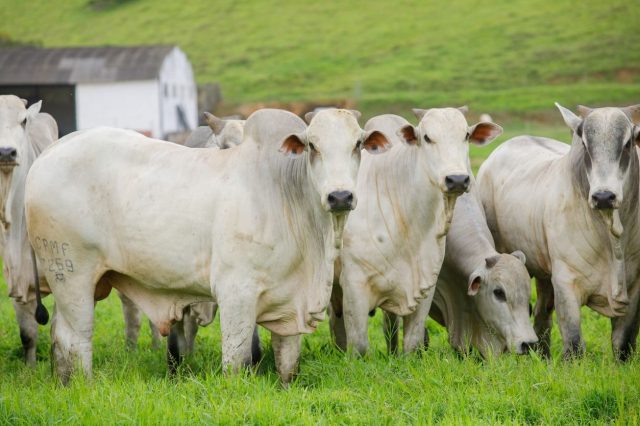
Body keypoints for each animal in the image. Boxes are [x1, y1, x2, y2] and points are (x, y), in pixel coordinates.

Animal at [25, 107, 390, 382]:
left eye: (358, 143)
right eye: (313, 145)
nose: (340, 196)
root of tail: (50, 153)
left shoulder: (290, 304)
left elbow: (289, 365)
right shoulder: (236, 293)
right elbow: (238, 362)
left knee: (59, 336)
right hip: (71, 275)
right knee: (75, 339)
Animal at [330, 108, 504, 354]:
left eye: (466, 135)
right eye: (427, 137)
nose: (457, 179)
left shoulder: (424, 285)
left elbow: (412, 342)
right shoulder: (354, 286)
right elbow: (360, 345)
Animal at [478, 103, 640, 360]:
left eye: (627, 143)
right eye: (585, 144)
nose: (604, 196)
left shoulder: (635, 290)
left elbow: (622, 343)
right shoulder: (566, 281)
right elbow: (574, 344)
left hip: (544, 272)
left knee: (542, 312)